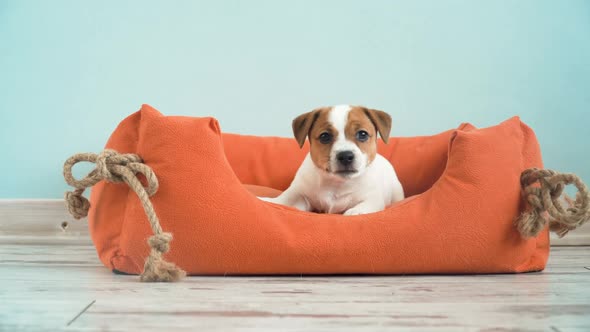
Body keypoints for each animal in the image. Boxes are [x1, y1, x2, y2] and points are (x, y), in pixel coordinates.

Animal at [262, 105, 408, 217]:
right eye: (325, 136)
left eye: (362, 134)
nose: (346, 156)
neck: (337, 184)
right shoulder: (299, 192)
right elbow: (285, 199)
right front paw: (268, 200)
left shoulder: (373, 197)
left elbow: (367, 204)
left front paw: (355, 212)